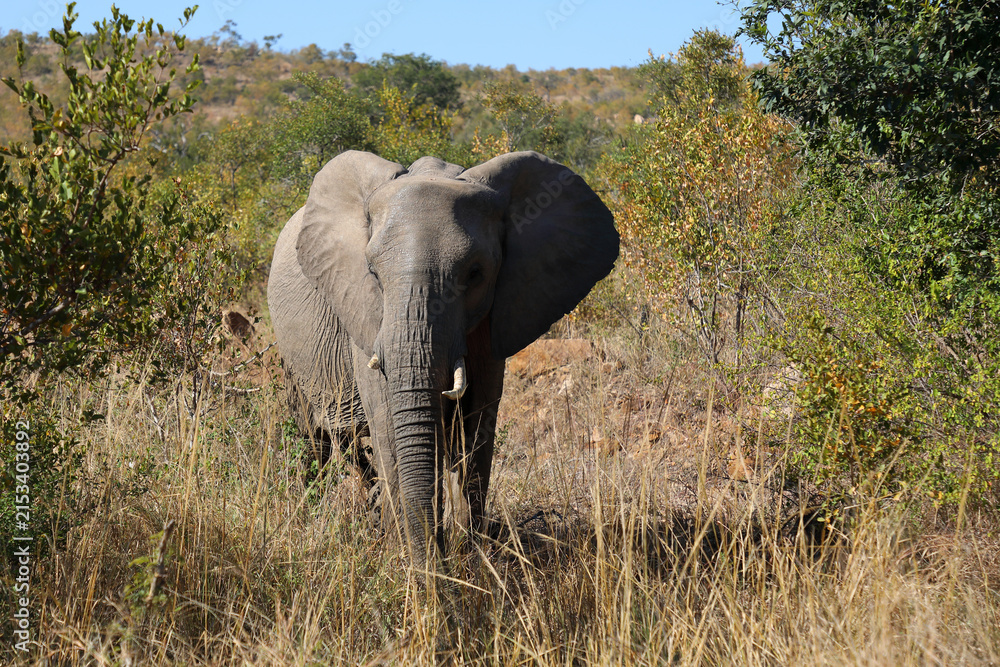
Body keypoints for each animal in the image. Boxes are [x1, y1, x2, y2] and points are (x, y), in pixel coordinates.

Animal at [267, 149, 618, 571]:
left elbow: (478, 426)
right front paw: (406, 562)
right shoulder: (364, 318)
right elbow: (388, 425)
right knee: (314, 436)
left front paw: (472, 557)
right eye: (373, 274)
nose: (437, 569)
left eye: (475, 273)